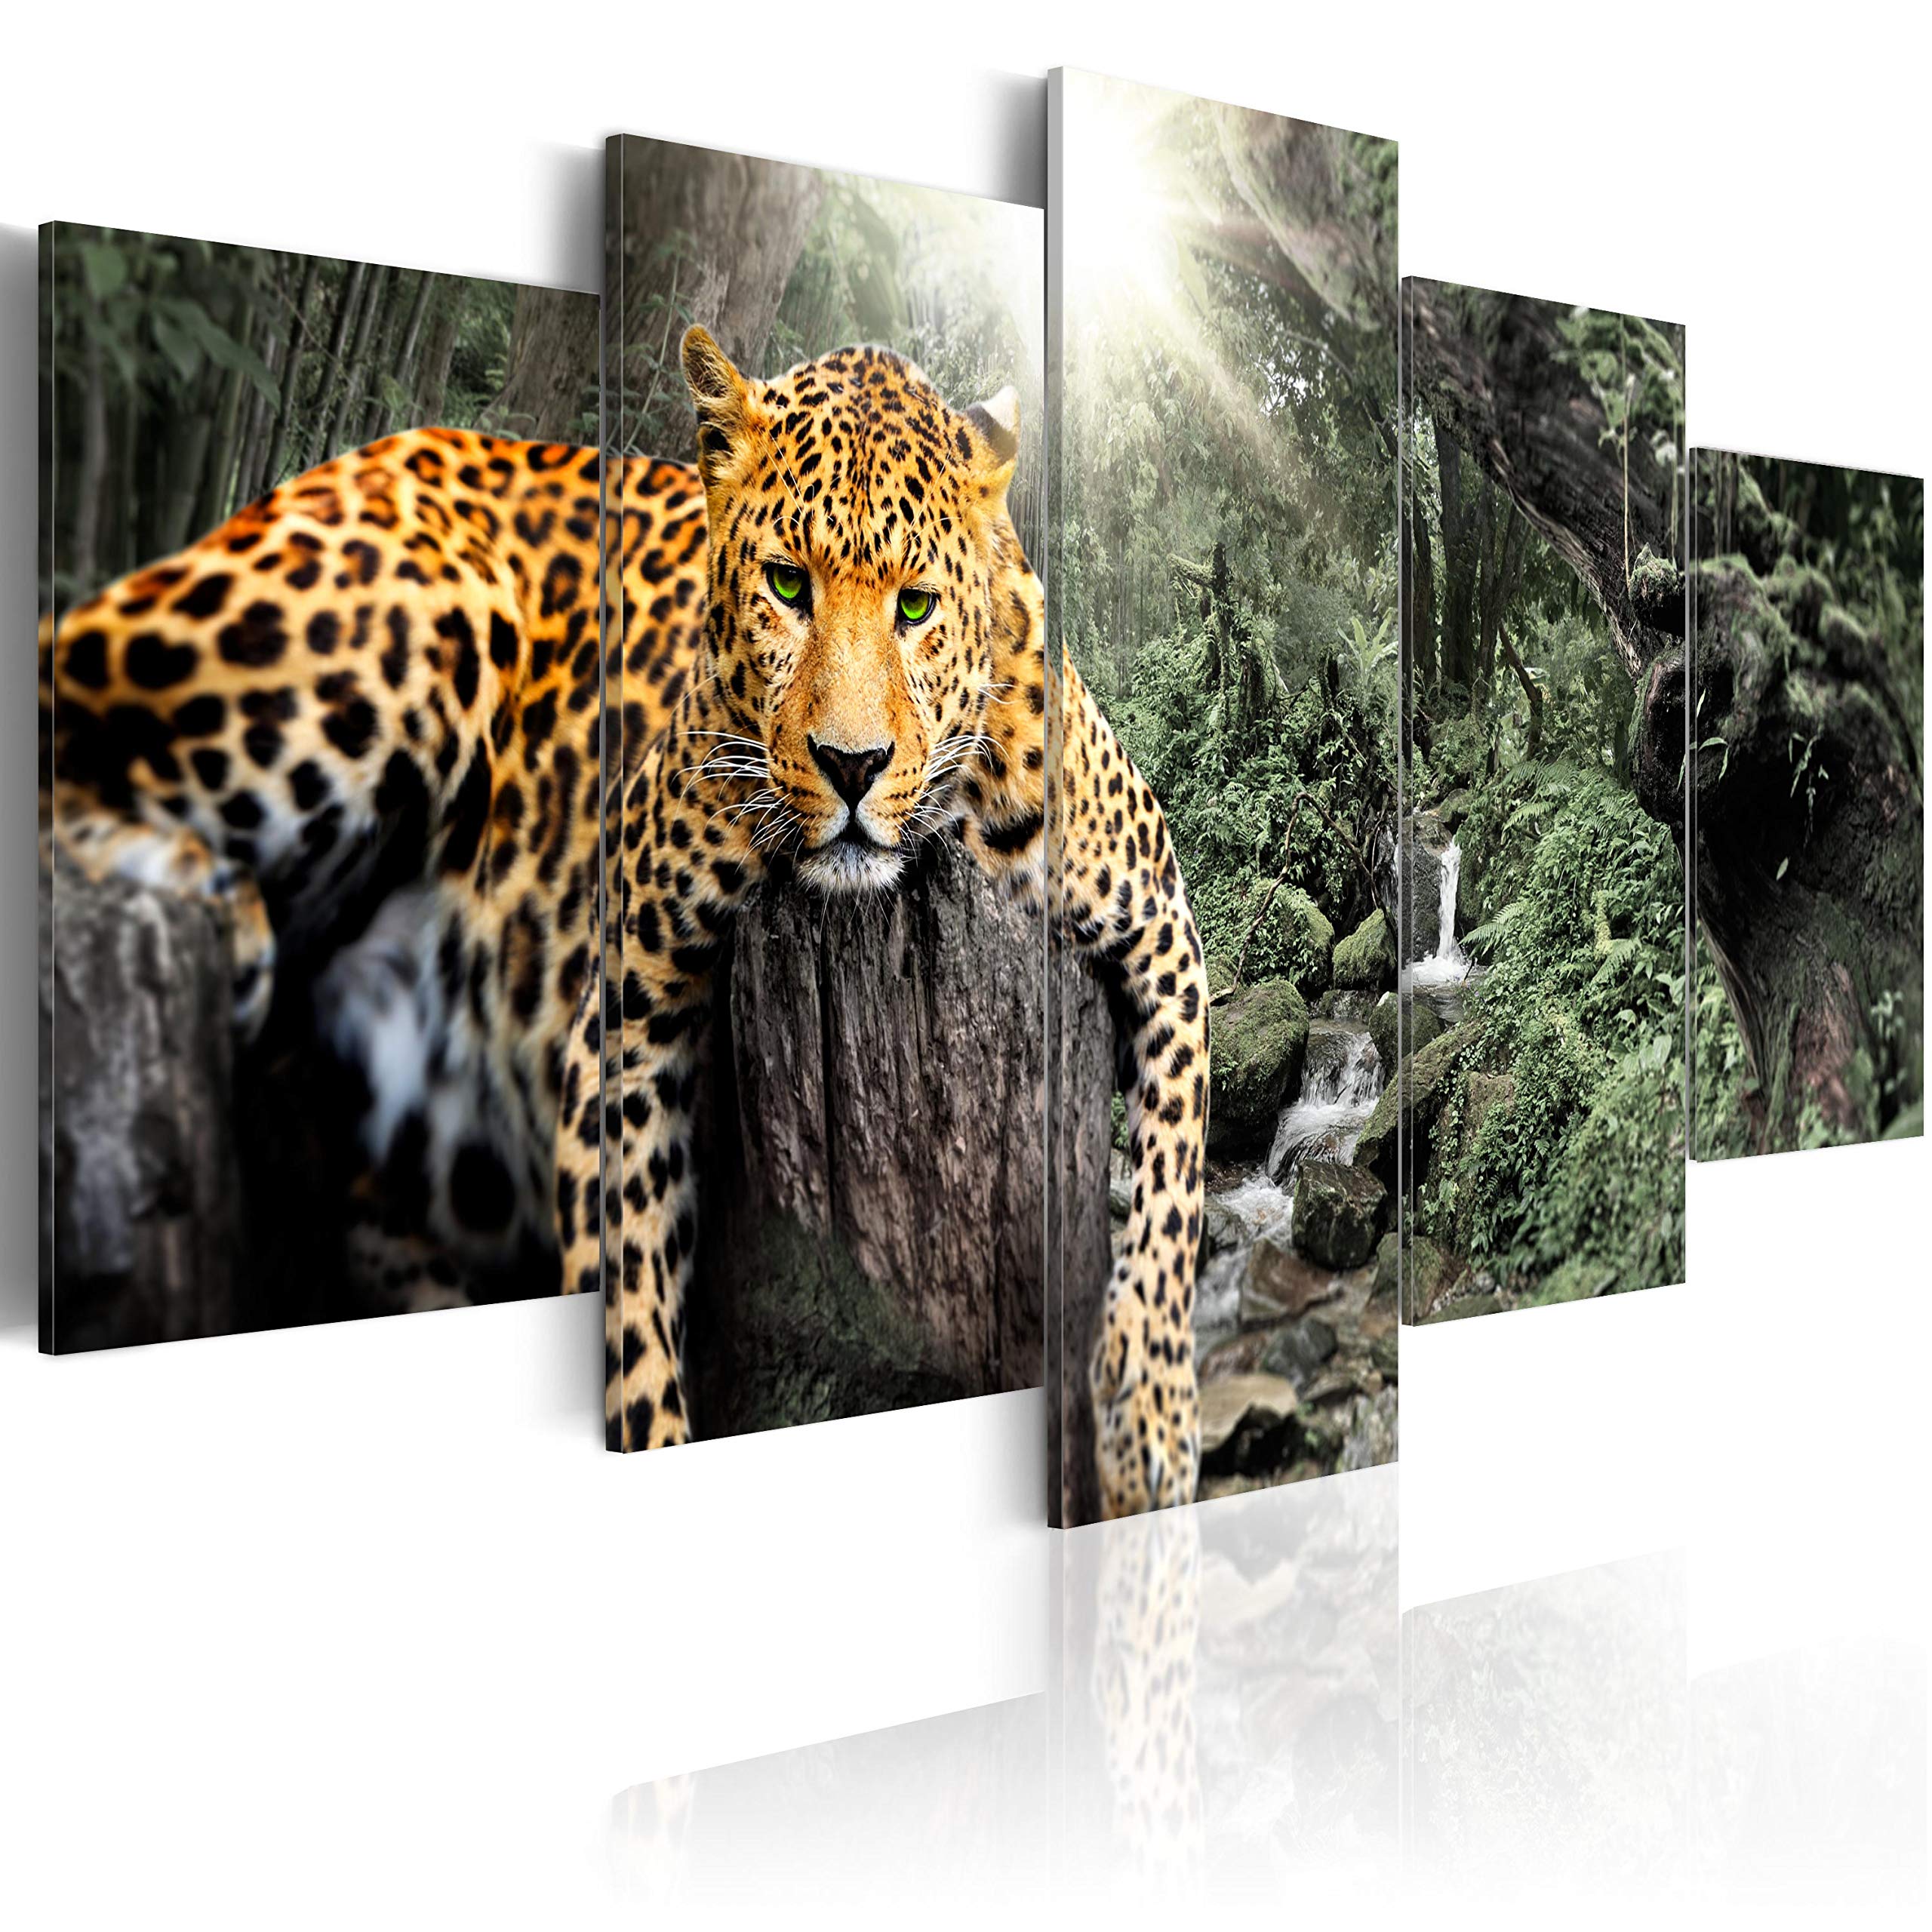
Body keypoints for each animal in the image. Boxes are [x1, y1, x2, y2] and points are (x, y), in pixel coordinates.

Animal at [41, 328, 1209, 1517]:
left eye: (917, 606)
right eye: (787, 584)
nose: (852, 765)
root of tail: (384, 449)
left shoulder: (1162, 927)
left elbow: (1174, 1184)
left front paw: (1151, 1423)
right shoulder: (625, 1010)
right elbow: (629, 1293)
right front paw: (651, 1432)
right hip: (381, 625)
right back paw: (208, 898)